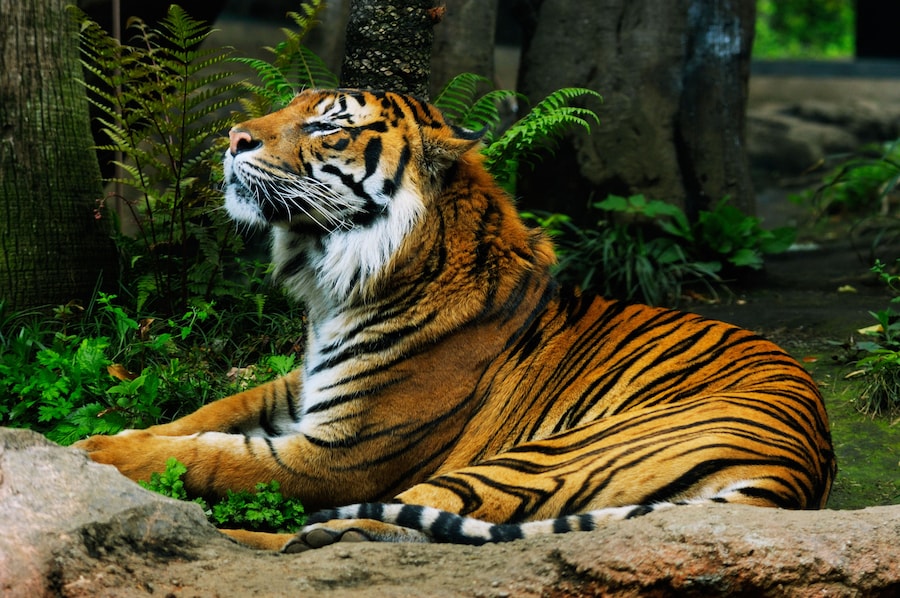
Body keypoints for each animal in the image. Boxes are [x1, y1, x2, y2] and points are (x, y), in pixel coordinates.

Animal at [75, 88, 836, 553]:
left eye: (327, 125)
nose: (233, 138)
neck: (335, 279)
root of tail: (798, 472)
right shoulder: (299, 388)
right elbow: (202, 416)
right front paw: (111, 435)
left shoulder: (338, 454)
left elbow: (213, 458)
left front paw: (97, 454)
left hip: (528, 462)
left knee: (359, 531)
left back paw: (246, 536)